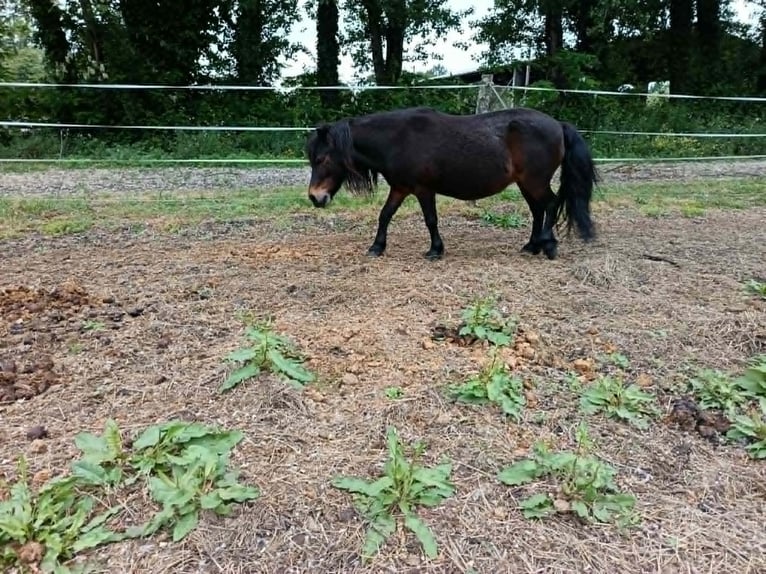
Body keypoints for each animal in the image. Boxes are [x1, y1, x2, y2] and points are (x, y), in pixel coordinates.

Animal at [304, 106, 598, 261]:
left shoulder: (423, 189)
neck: (397, 139)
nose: (315, 197)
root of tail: (558, 124)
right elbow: (385, 215)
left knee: (550, 205)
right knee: (538, 210)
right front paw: (377, 246)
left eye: (321, 159)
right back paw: (532, 246)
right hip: (525, 183)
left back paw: (548, 245)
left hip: (535, 181)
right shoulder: (400, 188)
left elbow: (430, 220)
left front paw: (435, 250)